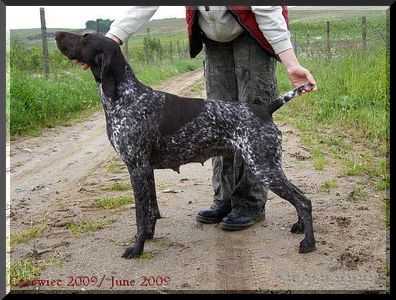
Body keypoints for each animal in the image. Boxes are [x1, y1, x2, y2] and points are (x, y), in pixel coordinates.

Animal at [55, 32, 318, 258]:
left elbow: (141, 214)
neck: (125, 97)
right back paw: (298, 226)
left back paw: (308, 242)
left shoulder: (136, 167)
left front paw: (137, 248)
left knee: (303, 201)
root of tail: (264, 109)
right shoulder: (145, 169)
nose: (57, 34)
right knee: (299, 198)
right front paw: (148, 237)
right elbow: (151, 211)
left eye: (85, 37)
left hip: (264, 167)